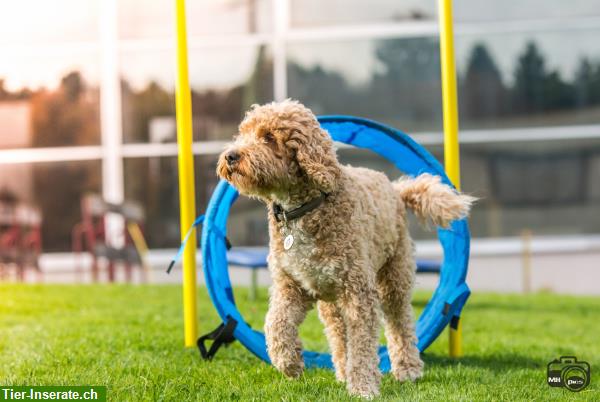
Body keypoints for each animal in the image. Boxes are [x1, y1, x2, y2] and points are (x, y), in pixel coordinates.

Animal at [216, 100, 474, 398]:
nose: (230, 156)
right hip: (330, 300)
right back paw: (341, 371)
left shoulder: (358, 293)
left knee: (399, 323)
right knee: (339, 335)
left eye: (268, 137)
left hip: (393, 278)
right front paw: (289, 362)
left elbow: (362, 343)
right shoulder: (291, 286)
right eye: (243, 133)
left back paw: (407, 369)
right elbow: (276, 323)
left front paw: (363, 387)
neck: (303, 209)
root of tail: (394, 188)